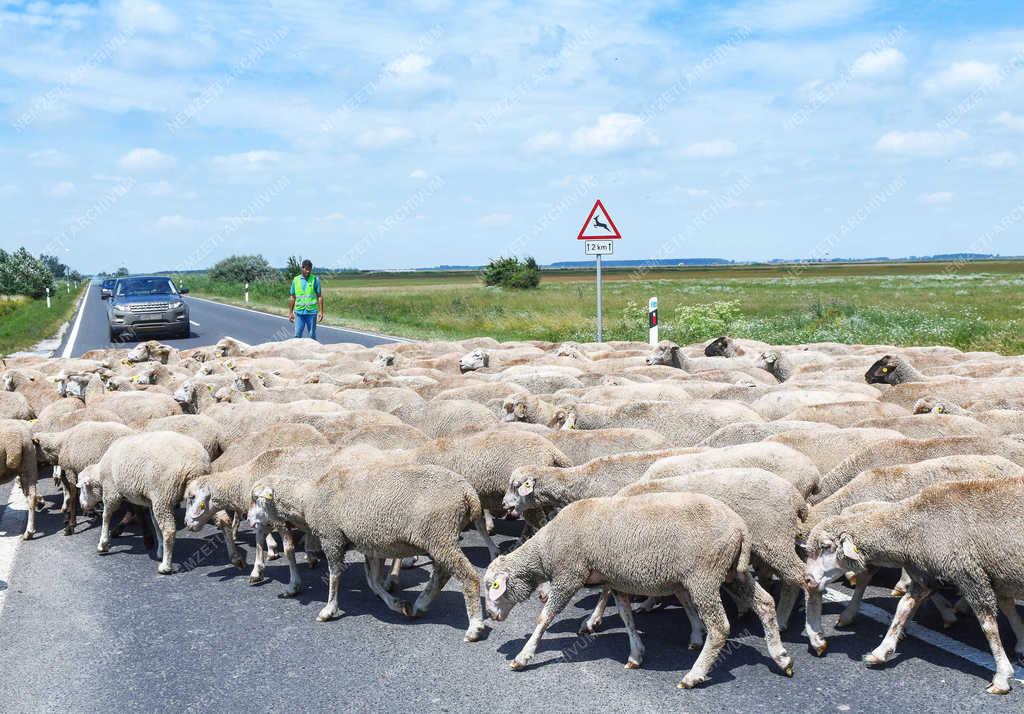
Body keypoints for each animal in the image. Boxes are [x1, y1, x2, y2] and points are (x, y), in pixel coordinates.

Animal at [78, 428, 211, 573]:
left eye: (83, 489)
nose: (82, 505)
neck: (100, 476)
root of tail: (196, 465)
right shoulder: (151, 501)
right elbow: (156, 525)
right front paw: (160, 551)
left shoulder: (111, 492)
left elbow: (106, 516)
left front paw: (103, 544)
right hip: (189, 496)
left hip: (164, 494)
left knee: (169, 530)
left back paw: (166, 566)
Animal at [483, 489, 794, 684]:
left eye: (492, 586)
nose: (493, 616)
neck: (546, 548)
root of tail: (741, 527)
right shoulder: (616, 580)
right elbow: (626, 618)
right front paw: (635, 654)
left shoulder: (568, 576)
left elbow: (544, 618)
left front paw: (523, 656)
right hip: (732, 572)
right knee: (765, 603)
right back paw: (781, 657)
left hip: (704, 576)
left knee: (720, 628)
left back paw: (694, 675)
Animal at [802, 475, 1024, 692]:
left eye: (826, 546)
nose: (808, 579)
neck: (913, 528)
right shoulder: (926, 575)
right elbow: (903, 607)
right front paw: (881, 651)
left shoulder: (970, 575)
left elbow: (988, 626)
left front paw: (1002, 676)